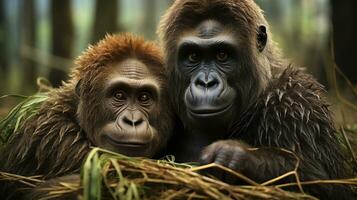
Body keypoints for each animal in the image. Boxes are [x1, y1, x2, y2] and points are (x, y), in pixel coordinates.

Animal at [159, 0, 354, 199]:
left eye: (222, 55)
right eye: (193, 56)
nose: (206, 83)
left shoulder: (297, 100)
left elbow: (321, 183)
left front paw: (237, 156)